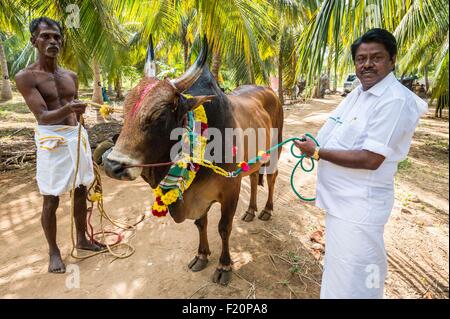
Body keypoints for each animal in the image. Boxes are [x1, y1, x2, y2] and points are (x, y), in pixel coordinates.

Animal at [103, 37, 284, 284]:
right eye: (125, 108)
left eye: (159, 115)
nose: (112, 165)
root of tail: (269, 90)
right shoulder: (197, 194)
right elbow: (201, 223)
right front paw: (202, 255)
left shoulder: (231, 189)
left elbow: (224, 228)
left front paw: (224, 266)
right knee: (256, 177)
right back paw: (250, 211)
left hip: (275, 152)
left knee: (272, 178)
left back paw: (266, 210)